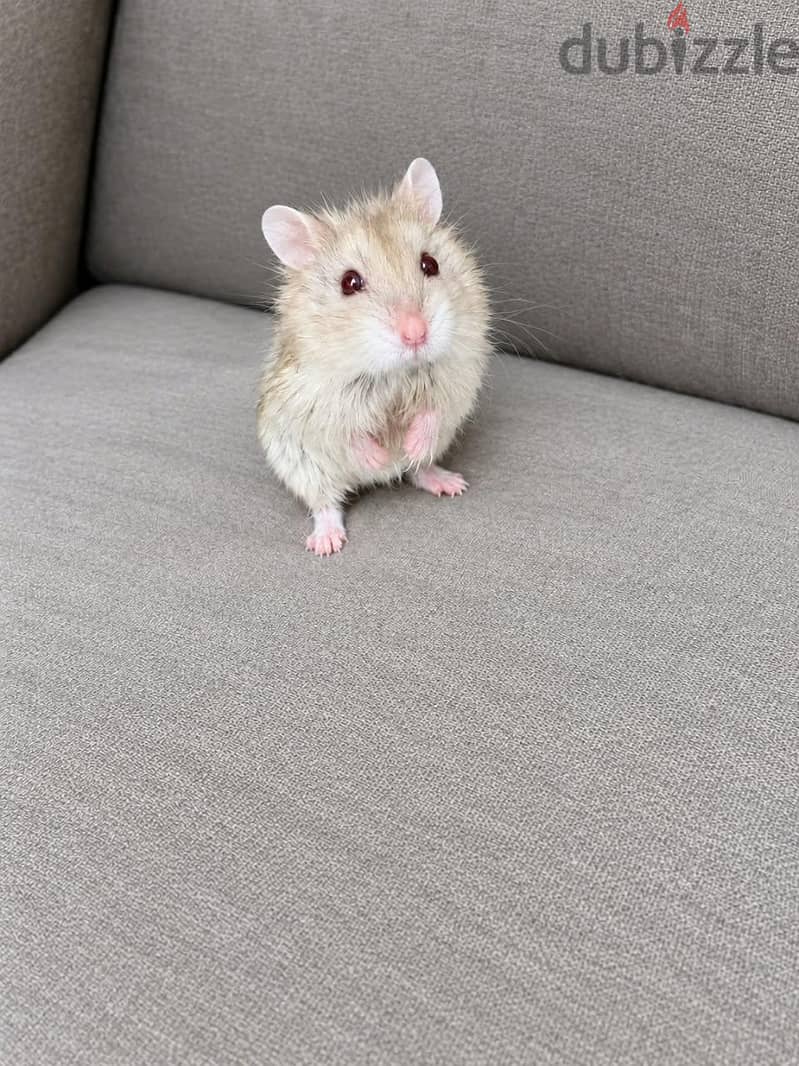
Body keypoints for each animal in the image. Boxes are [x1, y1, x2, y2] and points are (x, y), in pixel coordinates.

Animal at [257, 158, 490, 556]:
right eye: (349, 283)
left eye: (431, 264)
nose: (416, 333)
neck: (395, 372)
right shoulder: (314, 398)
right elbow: (346, 430)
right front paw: (378, 455)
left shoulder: (458, 370)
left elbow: (434, 409)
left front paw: (409, 445)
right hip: (303, 467)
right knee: (325, 502)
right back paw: (327, 541)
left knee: (416, 470)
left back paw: (442, 479)